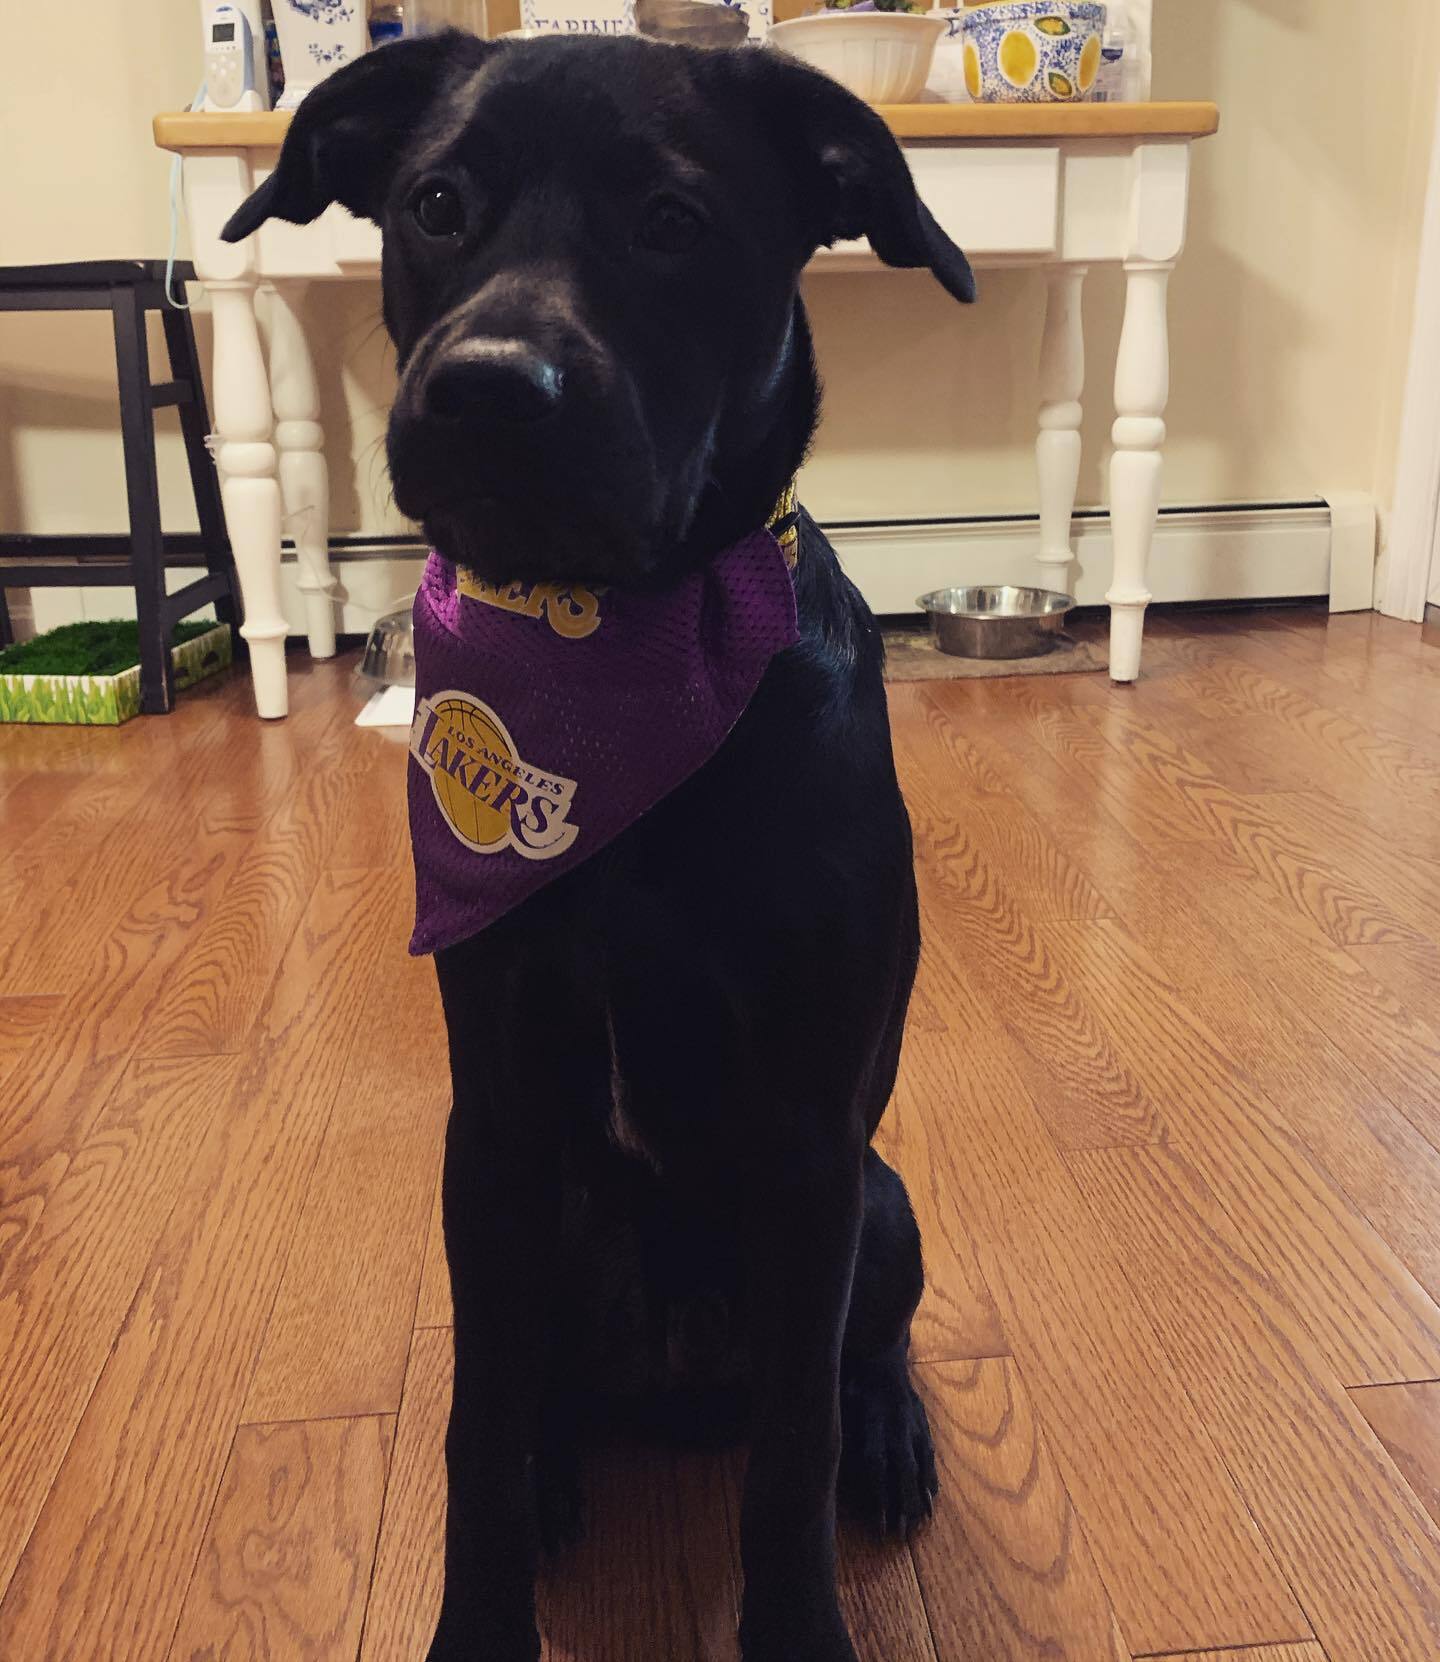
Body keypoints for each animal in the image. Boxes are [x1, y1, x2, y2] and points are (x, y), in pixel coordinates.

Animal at [229, 32, 971, 1655]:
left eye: (675, 221)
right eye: (436, 203)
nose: (490, 392)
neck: (611, 645)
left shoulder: (812, 1145)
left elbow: (794, 1450)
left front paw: (800, 1622)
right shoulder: (496, 1130)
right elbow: (476, 1428)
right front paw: (479, 1619)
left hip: (882, 1204)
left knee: (854, 1364)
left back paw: (887, 1439)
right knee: (541, 1395)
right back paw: (570, 1466)